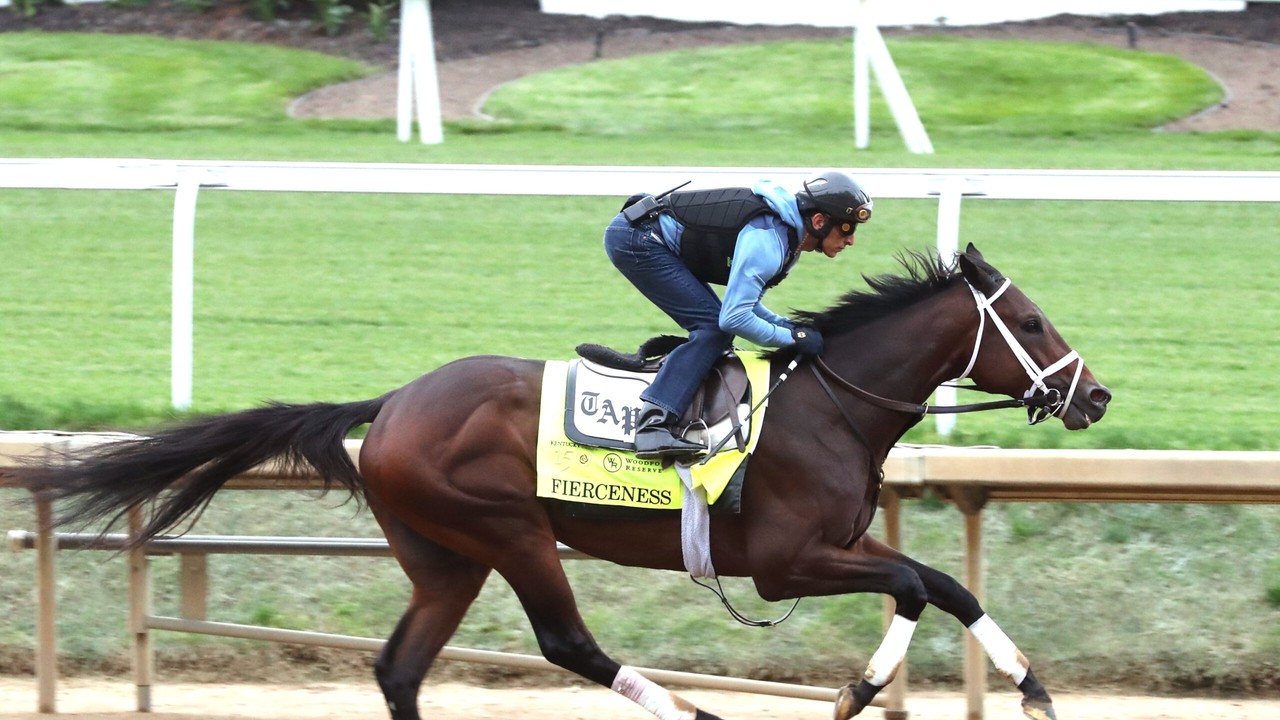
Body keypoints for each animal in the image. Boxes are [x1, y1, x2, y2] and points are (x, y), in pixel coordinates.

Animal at [17, 244, 1111, 717]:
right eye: (1035, 322)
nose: (1093, 396)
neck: (828, 404)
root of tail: (393, 401)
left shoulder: (837, 544)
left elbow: (947, 585)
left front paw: (1032, 688)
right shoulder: (788, 561)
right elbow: (919, 586)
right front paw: (856, 691)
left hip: (444, 557)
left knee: (400, 670)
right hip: (508, 530)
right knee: (566, 643)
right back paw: (696, 717)